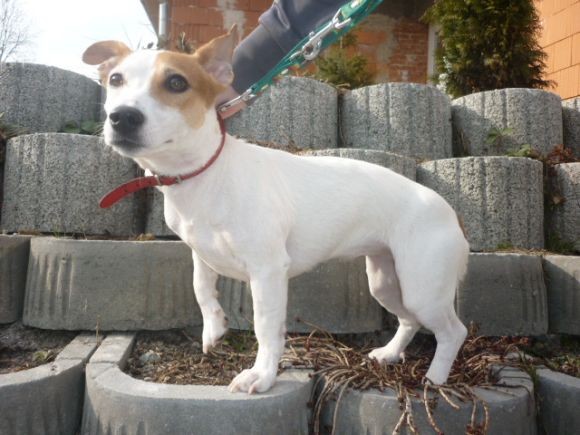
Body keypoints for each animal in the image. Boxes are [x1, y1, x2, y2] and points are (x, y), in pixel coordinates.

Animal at [83, 26, 469, 394]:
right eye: (115, 79)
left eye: (177, 82)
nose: (122, 117)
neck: (207, 174)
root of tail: (450, 212)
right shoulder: (200, 253)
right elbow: (201, 287)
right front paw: (214, 328)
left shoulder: (267, 271)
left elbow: (265, 327)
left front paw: (262, 375)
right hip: (386, 283)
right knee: (409, 320)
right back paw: (390, 353)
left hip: (422, 287)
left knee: (454, 331)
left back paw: (435, 379)